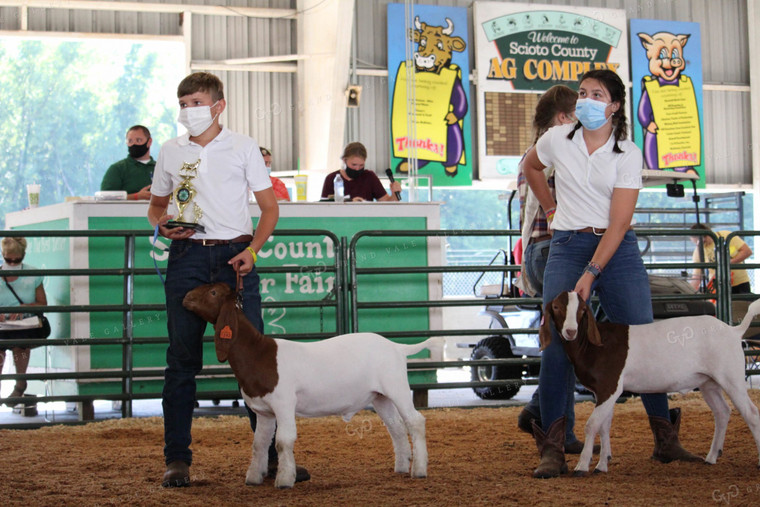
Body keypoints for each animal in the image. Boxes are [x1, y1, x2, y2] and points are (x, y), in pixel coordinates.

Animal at [181, 284, 440, 490]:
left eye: (213, 292)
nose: (185, 297)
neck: (258, 354)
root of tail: (397, 347)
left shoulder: (284, 403)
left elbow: (283, 440)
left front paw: (285, 480)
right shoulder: (264, 412)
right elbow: (259, 444)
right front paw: (253, 478)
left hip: (396, 385)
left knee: (415, 421)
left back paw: (419, 470)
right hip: (380, 396)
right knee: (396, 427)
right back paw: (401, 466)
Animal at [540, 292, 760, 474]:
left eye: (582, 310)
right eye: (556, 307)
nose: (570, 331)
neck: (593, 344)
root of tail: (734, 330)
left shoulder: (610, 386)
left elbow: (592, 425)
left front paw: (582, 465)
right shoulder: (604, 392)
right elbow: (604, 425)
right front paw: (602, 465)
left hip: (731, 375)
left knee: (751, 413)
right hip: (708, 382)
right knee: (722, 411)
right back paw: (711, 457)